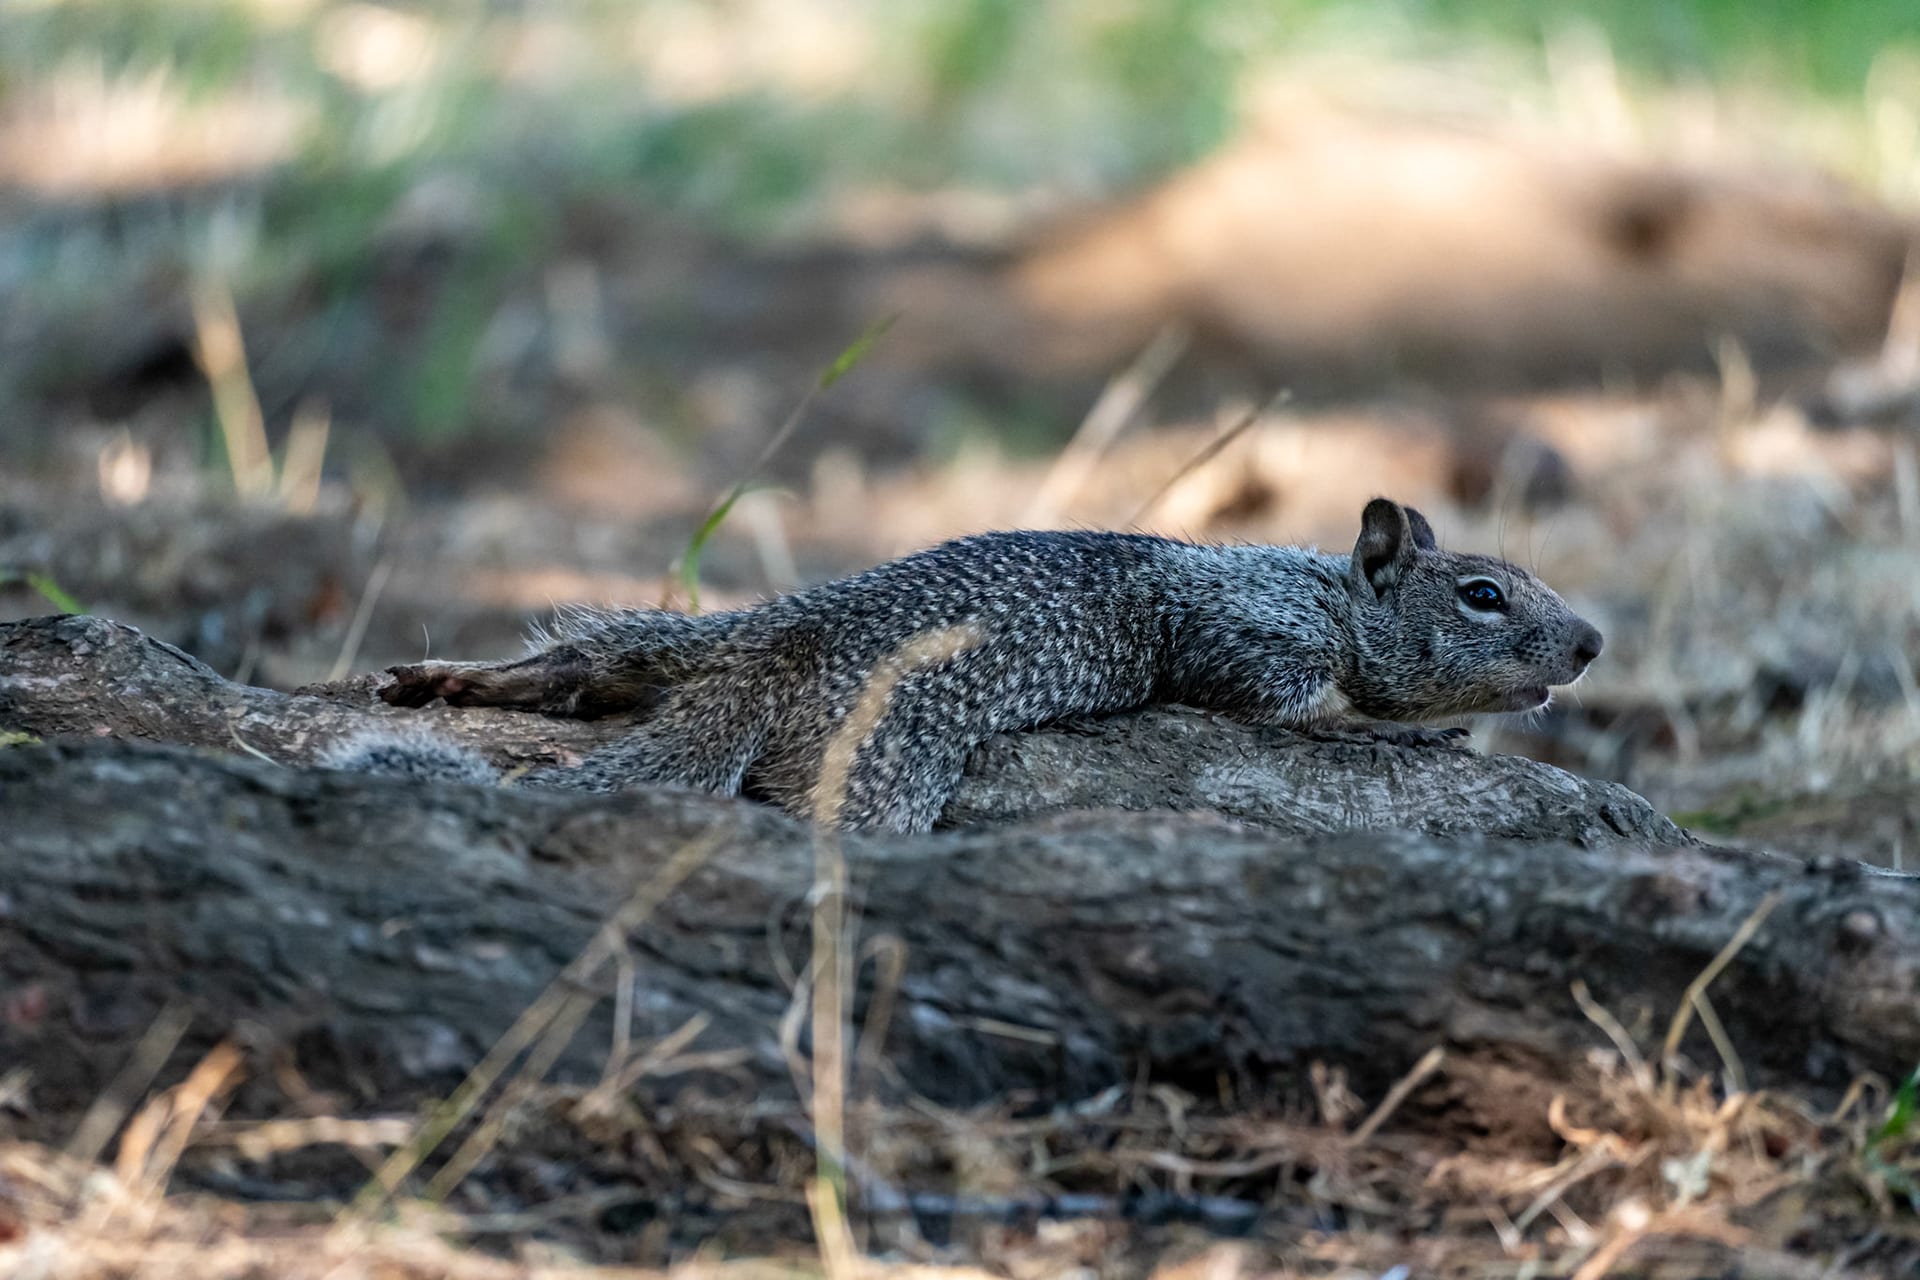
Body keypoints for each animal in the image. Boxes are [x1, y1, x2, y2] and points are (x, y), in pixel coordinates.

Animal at [340, 498, 1603, 833]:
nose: (1592, 643)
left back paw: (454, 682)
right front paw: (1401, 726)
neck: (1330, 593)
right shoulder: (1242, 632)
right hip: (878, 764)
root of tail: (769, 659)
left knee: (582, 661)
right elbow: (1280, 705)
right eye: (1484, 594)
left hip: (677, 635)